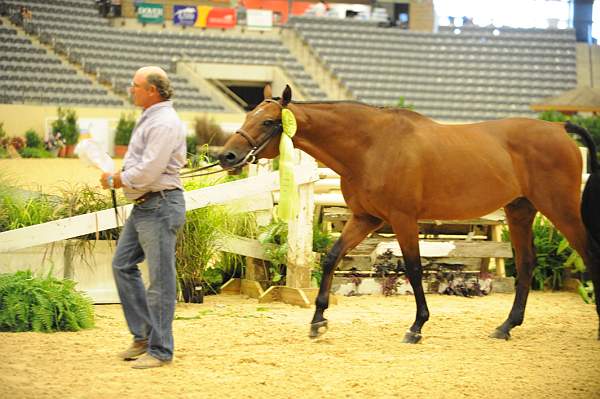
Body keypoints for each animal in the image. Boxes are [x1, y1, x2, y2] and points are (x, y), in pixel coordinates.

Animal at [218, 85, 600, 344]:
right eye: (248, 116)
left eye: (268, 121)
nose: (228, 156)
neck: (372, 146)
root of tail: (558, 129)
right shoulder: (364, 218)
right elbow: (330, 258)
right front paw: (318, 321)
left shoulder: (402, 219)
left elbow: (414, 269)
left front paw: (417, 326)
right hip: (520, 210)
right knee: (526, 263)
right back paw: (506, 327)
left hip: (560, 209)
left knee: (588, 253)